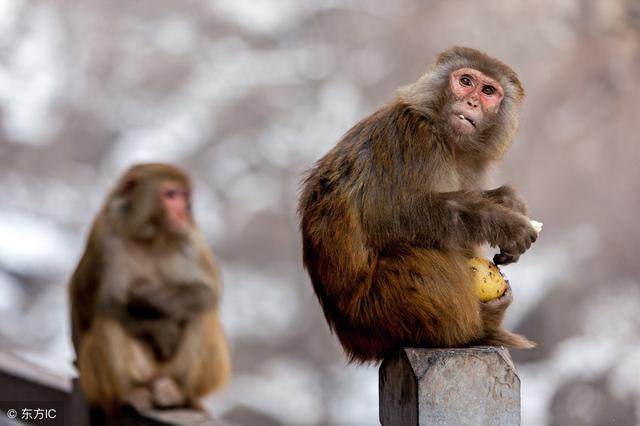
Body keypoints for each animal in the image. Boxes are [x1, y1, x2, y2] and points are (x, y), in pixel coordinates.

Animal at [69, 163, 230, 412]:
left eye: (184, 197)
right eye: (171, 194)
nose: (183, 212)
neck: (150, 236)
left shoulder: (189, 236)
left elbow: (207, 289)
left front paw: (148, 299)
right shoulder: (103, 237)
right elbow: (92, 302)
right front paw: (160, 328)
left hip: (180, 372)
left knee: (200, 312)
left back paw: (176, 391)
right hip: (129, 374)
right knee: (107, 319)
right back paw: (132, 392)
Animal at [298, 46, 536, 362]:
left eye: (488, 91)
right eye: (465, 81)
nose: (472, 101)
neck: (447, 138)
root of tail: (356, 342)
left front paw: (508, 201)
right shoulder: (416, 139)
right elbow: (393, 214)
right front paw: (504, 223)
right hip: (380, 310)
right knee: (421, 254)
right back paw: (474, 329)